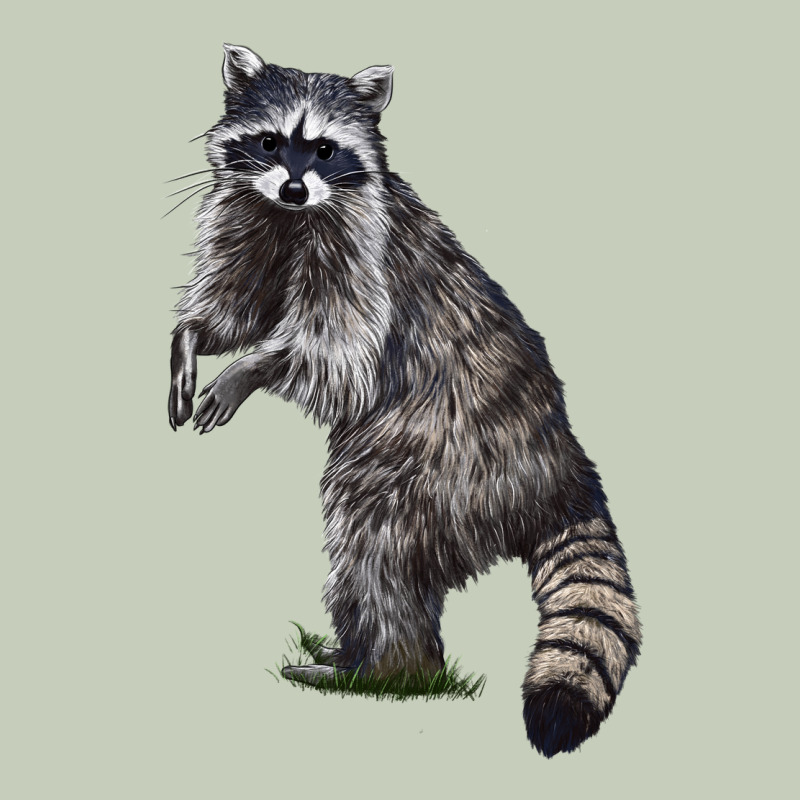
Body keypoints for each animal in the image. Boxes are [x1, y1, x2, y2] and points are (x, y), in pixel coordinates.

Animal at [167, 44, 641, 757]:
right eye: (270, 141)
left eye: (325, 149)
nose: (294, 188)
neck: (292, 217)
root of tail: (559, 468)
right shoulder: (249, 218)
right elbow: (237, 305)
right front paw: (193, 337)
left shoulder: (363, 255)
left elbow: (339, 351)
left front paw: (251, 368)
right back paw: (358, 656)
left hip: (441, 462)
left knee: (373, 540)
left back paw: (386, 668)